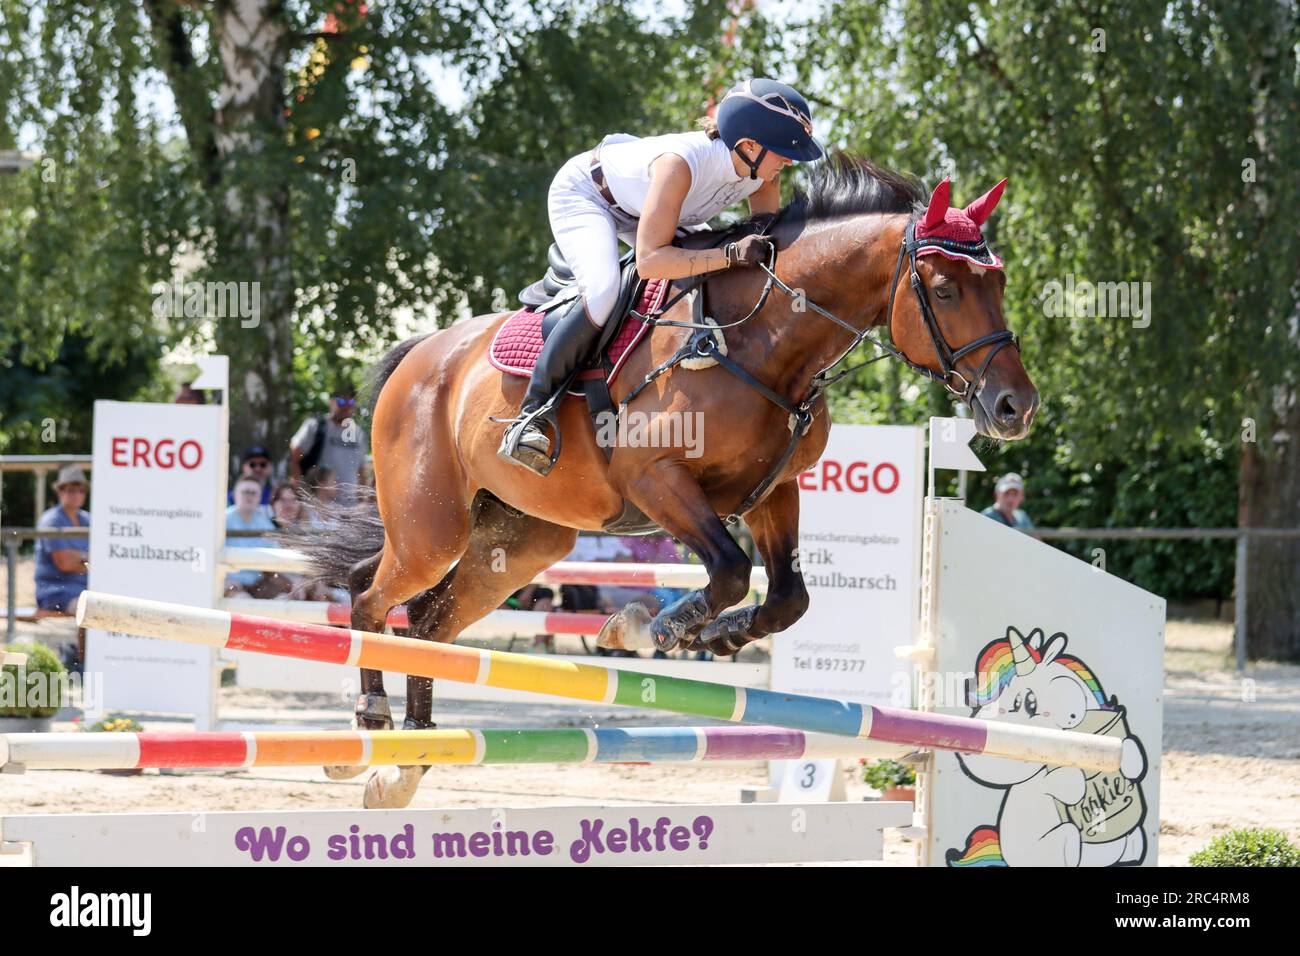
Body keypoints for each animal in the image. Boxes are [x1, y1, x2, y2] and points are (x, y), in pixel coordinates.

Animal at [292, 151, 1034, 806]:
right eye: (944, 289)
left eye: (998, 284)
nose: (1015, 407)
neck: (761, 343)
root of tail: (425, 351)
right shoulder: (657, 481)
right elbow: (730, 571)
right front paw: (651, 630)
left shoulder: (772, 492)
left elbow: (787, 598)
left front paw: (717, 636)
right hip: (434, 528)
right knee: (370, 595)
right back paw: (369, 726)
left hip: (520, 543)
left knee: (427, 620)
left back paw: (406, 762)